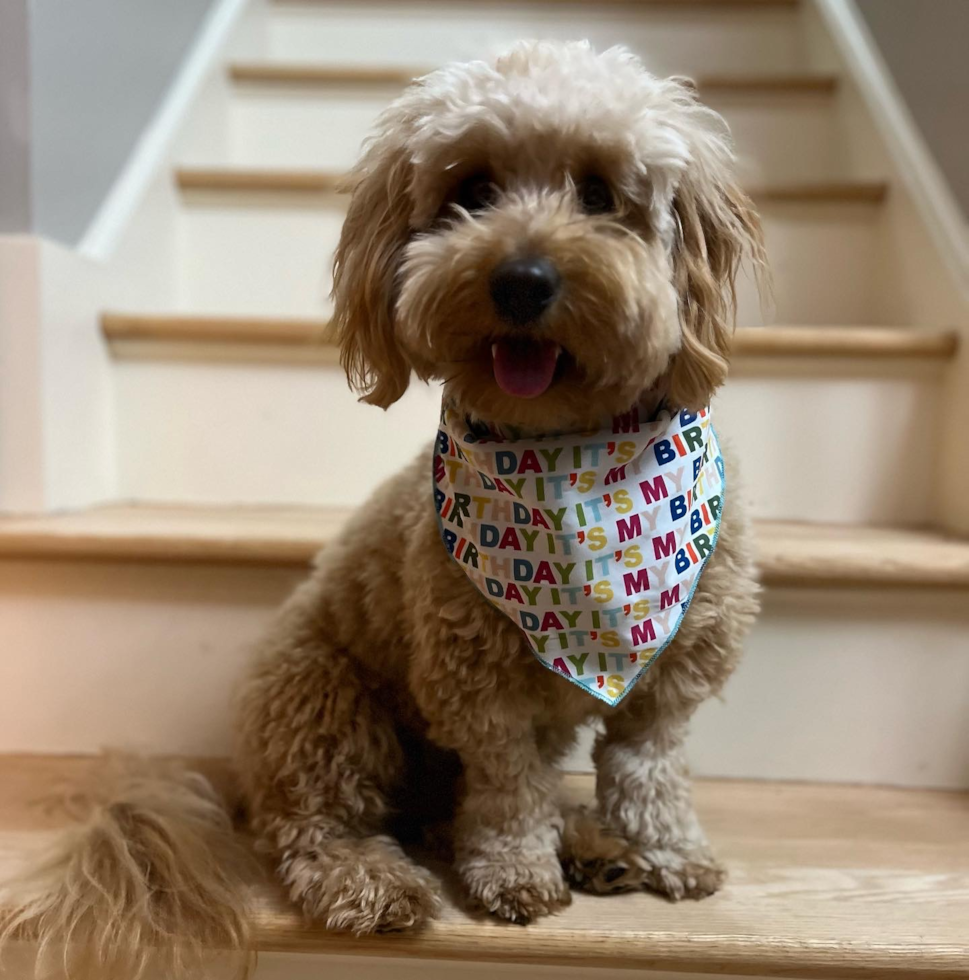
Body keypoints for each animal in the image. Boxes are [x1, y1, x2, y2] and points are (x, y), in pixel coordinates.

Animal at [1, 36, 772, 972]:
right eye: (470, 190)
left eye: (598, 193)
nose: (521, 280)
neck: (569, 458)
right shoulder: (475, 686)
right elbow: (506, 789)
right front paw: (515, 872)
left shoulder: (674, 671)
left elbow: (645, 767)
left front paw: (666, 851)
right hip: (326, 703)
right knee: (318, 828)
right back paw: (375, 882)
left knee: (443, 815)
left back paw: (592, 844)